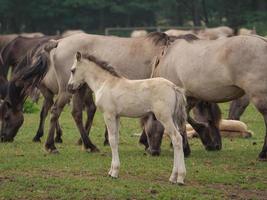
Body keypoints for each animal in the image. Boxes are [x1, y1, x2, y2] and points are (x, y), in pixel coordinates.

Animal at [67, 52, 188, 184]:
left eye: (73, 70)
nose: (69, 88)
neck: (105, 83)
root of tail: (173, 87)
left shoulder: (108, 115)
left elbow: (112, 140)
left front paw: (114, 172)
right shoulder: (117, 116)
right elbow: (116, 140)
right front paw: (111, 171)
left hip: (165, 117)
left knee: (176, 138)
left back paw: (180, 178)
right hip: (172, 118)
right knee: (177, 139)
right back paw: (173, 177)